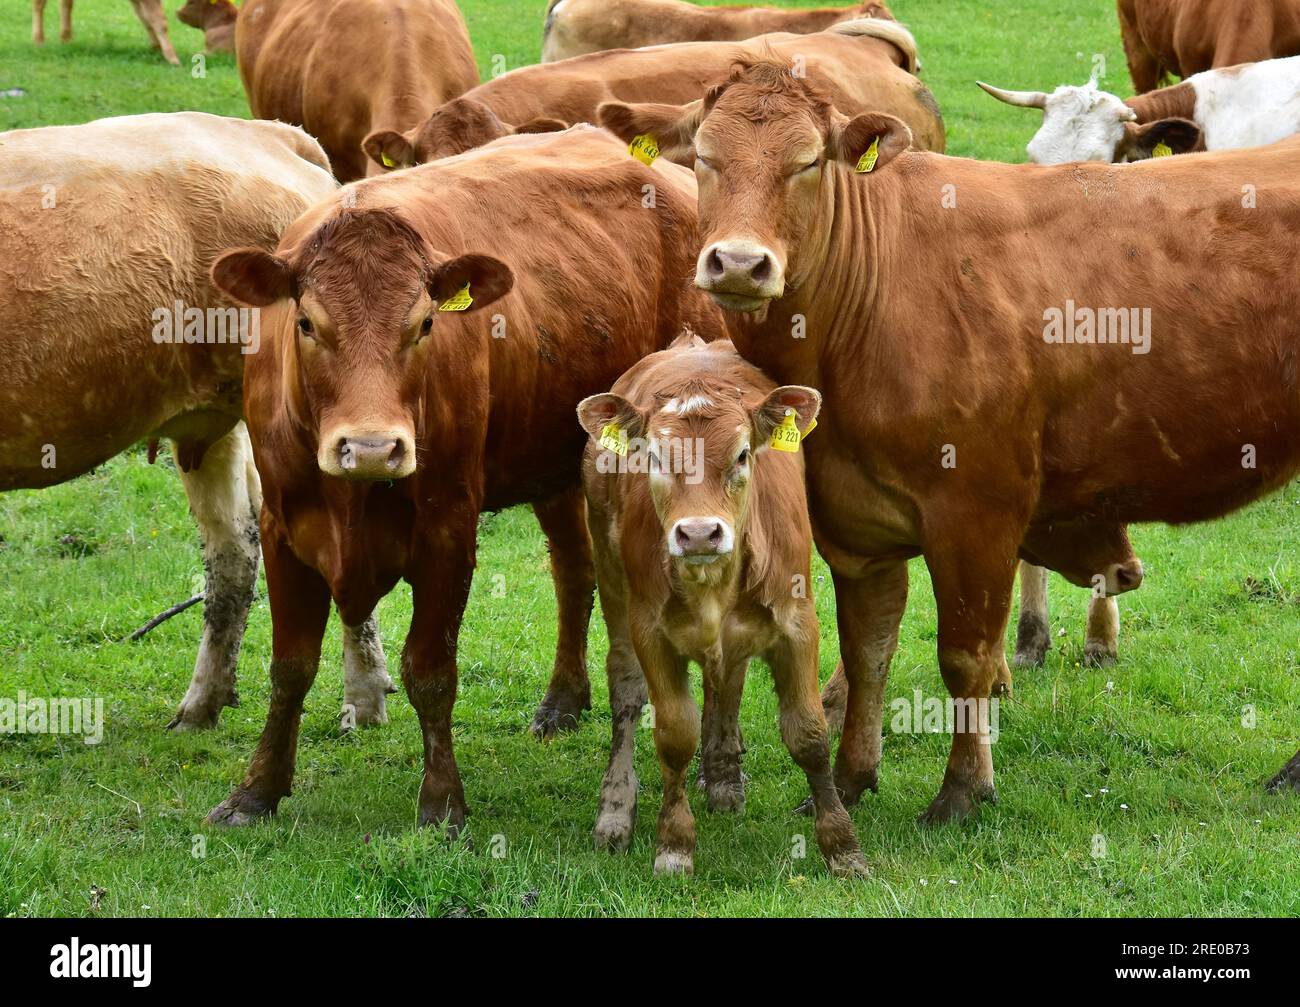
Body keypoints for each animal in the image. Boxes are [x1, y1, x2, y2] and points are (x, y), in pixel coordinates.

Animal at [32, 0, 179, 64]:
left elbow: (145, 17)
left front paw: (157, 47)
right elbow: (158, 19)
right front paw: (172, 58)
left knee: (65, 4)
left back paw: (66, 39)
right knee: (39, 4)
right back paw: (38, 40)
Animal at [204, 125, 722, 832]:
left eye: (425, 324)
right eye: (306, 323)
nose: (372, 448)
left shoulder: (448, 530)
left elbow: (429, 670)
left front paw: (442, 801)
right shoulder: (284, 528)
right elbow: (290, 667)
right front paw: (257, 790)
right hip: (555, 463)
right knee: (573, 568)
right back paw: (563, 699)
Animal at [578, 334, 866, 876]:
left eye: (742, 455)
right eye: (655, 458)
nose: (697, 534)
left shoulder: (798, 625)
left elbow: (809, 735)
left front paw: (843, 847)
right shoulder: (650, 631)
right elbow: (673, 736)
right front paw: (673, 845)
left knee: (727, 681)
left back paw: (724, 776)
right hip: (610, 578)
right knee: (625, 690)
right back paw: (615, 809)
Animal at [667, 60, 1300, 819]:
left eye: (808, 161)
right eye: (704, 157)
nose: (737, 263)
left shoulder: (977, 511)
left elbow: (964, 655)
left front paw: (964, 788)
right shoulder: (853, 524)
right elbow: (868, 651)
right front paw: (851, 776)